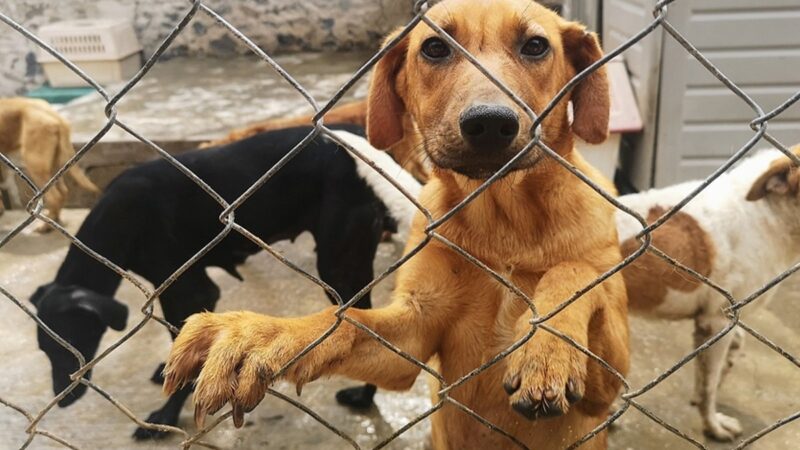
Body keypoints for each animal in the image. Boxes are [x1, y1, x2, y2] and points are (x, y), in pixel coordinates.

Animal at [0, 98, 99, 232]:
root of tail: (56, 117)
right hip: (54, 168)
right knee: (63, 192)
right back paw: (55, 220)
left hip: (35, 165)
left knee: (54, 197)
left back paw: (45, 226)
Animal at [29, 125, 418, 440]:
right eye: (45, 350)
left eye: (72, 343)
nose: (62, 400)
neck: (119, 216)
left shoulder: (188, 289)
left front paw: (165, 416)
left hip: (339, 268)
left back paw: (364, 396)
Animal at [162, 1, 628, 448]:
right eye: (435, 47)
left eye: (535, 46)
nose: (491, 123)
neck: (504, 225)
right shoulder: (411, 339)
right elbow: (345, 320)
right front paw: (260, 333)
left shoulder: (610, 382)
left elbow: (574, 271)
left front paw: (546, 350)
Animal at [616, 146, 796, 442]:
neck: (767, 211)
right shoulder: (717, 320)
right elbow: (710, 385)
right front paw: (713, 425)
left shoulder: (716, 320)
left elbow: (720, 361)